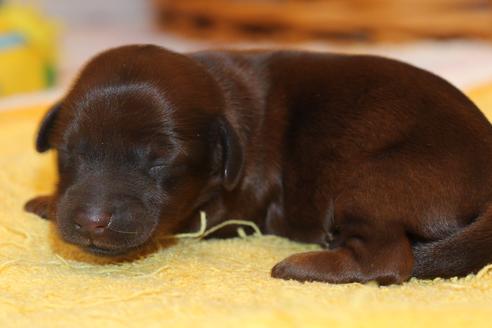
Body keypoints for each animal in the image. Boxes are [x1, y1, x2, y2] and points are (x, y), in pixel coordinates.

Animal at [25, 44, 492, 284]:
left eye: (160, 160)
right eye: (70, 151)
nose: (91, 221)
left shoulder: (231, 203)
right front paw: (49, 200)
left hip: (373, 182)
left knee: (387, 261)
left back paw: (302, 266)